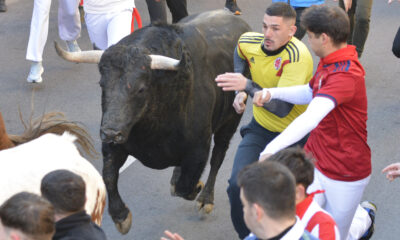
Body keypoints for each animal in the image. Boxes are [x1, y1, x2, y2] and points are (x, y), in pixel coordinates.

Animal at [57, 9, 250, 234]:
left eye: (141, 88)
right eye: (102, 84)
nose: (110, 132)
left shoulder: (199, 149)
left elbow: (187, 185)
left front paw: (197, 188)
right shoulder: (115, 144)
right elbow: (108, 176)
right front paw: (121, 216)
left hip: (230, 121)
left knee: (218, 156)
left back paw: (205, 199)